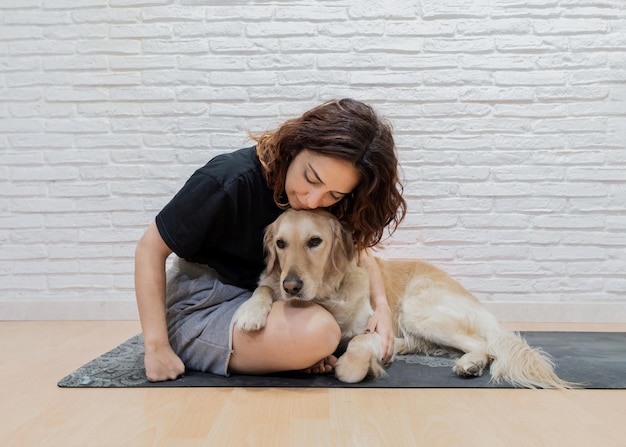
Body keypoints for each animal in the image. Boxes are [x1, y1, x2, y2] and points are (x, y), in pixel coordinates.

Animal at [234, 210, 576, 388]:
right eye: (280, 243)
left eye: (315, 241)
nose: (291, 286)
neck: (326, 297)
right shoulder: (275, 279)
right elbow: (265, 287)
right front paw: (251, 311)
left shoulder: (373, 328)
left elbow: (356, 353)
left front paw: (355, 365)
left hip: (416, 310)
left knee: (483, 344)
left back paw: (470, 364)